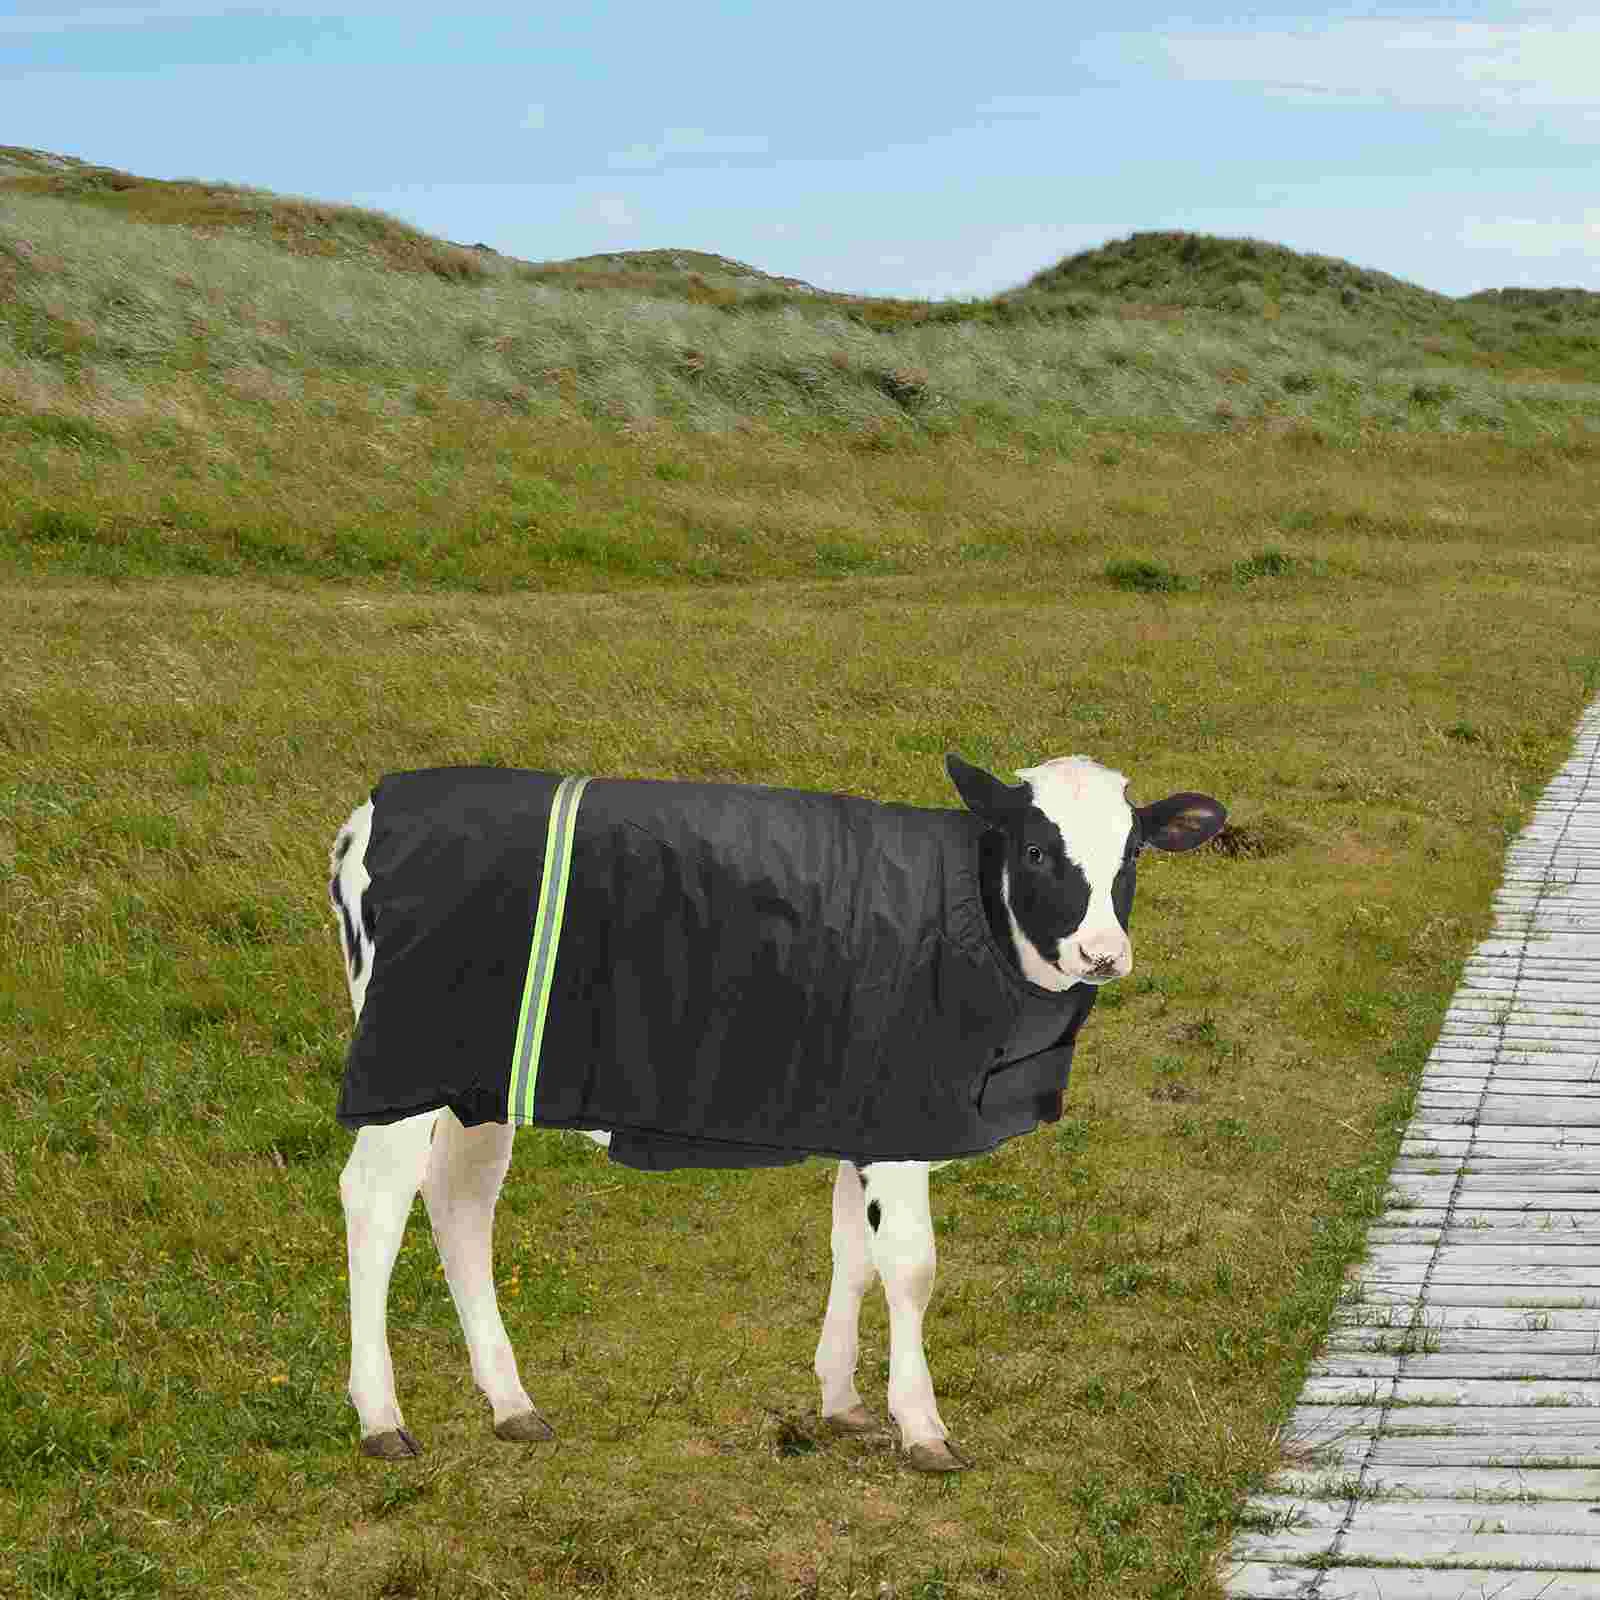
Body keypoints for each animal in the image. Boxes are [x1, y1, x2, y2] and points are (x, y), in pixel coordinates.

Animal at [330, 754, 1225, 1470]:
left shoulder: (862, 1112)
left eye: (1133, 853)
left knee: (460, 1202)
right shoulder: (898, 1119)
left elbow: (853, 1253)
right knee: (375, 1203)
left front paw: (843, 1401)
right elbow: (910, 1266)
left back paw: (511, 1404)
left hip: (474, 1086)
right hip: (399, 1069)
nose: (1102, 954)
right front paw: (922, 1427)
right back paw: (381, 1417)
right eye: (1037, 850)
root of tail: (374, 809)